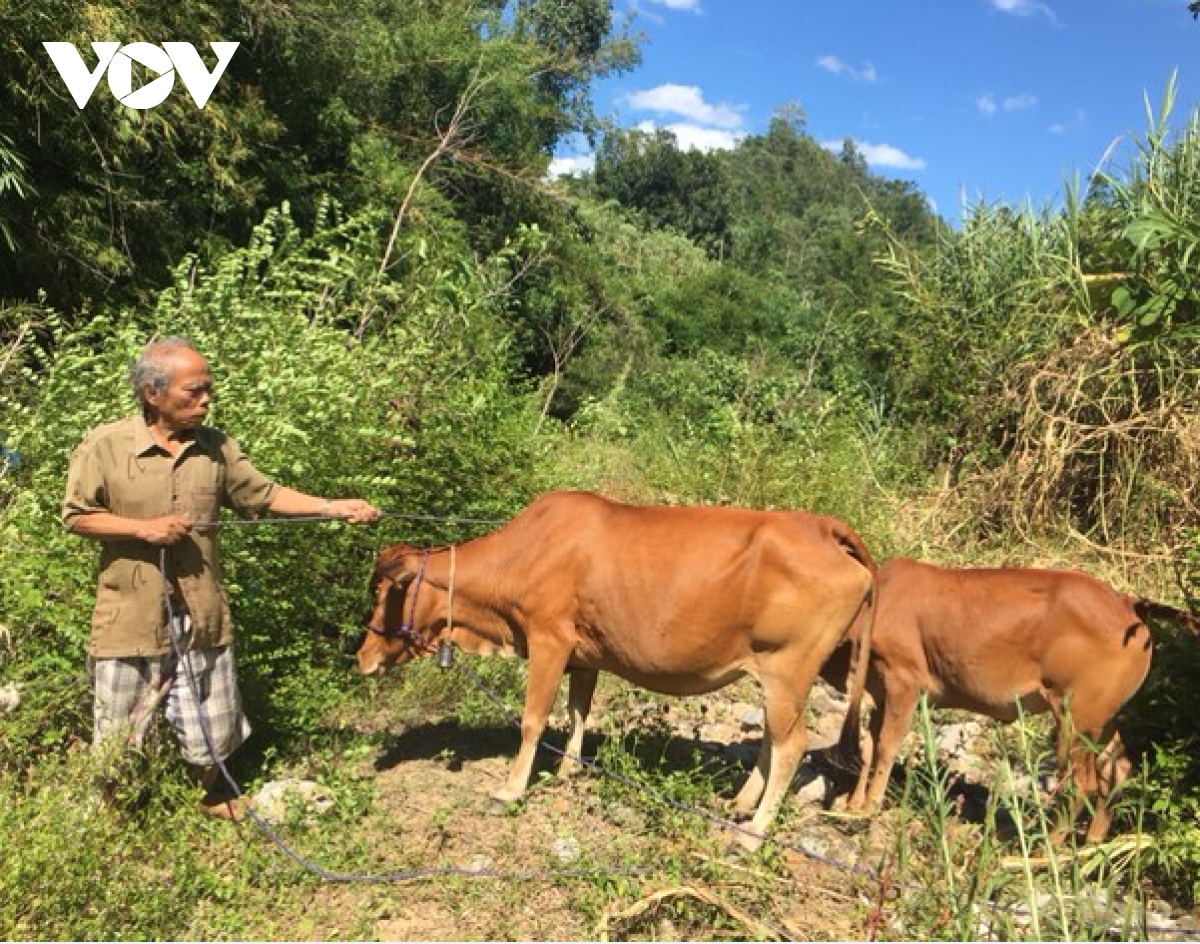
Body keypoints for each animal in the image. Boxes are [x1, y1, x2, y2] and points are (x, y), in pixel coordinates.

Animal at [355, 491, 873, 854]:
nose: (362, 656)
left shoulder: (548, 638)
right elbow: (578, 712)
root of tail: (820, 526)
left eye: (381, 593)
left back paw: (754, 833)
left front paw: (510, 788)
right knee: (771, 738)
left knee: (793, 746)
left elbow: (533, 719)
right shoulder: (585, 655)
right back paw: (740, 804)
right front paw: (567, 769)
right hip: (771, 676)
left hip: (789, 670)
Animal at [825, 561, 1200, 839]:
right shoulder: (880, 691)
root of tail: (1126, 603)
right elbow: (869, 745)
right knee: (1117, 769)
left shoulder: (904, 682)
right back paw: (1090, 848)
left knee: (1082, 783)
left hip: (1073, 718)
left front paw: (867, 807)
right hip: (1100, 720)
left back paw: (1040, 854)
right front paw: (851, 803)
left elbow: (885, 747)